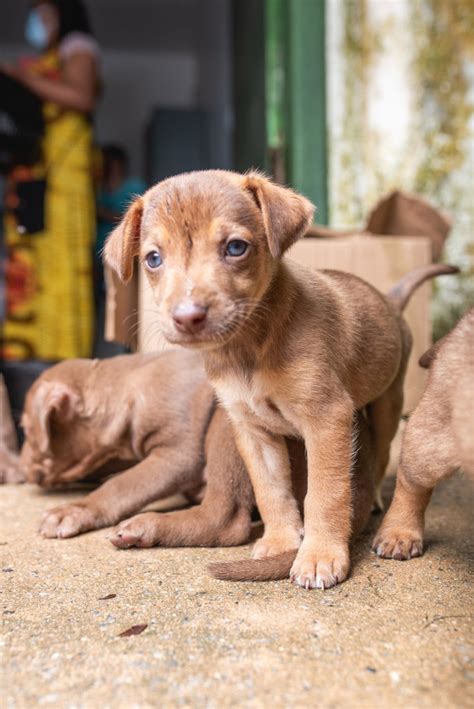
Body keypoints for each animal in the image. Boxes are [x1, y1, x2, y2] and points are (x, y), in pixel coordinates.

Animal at [21, 352, 378, 568]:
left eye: (25, 429)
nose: (21, 469)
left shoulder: (177, 453)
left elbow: (122, 485)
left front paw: (73, 510)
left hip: (227, 421)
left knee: (224, 519)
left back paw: (147, 526)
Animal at [104, 169, 460, 588]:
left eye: (236, 247)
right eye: (153, 258)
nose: (188, 317)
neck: (248, 350)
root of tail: (389, 299)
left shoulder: (327, 419)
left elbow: (325, 494)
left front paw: (319, 555)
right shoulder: (252, 430)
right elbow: (271, 491)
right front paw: (280, 542)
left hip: (388, 402)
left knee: (384, 452)